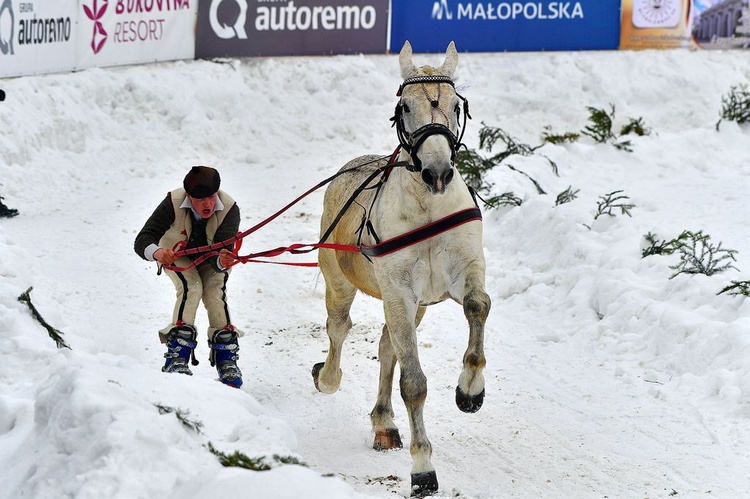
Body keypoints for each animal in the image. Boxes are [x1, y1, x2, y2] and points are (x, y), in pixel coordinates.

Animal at [312, 41, 494, 498]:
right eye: (406, 106)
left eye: (455, 105)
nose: (438, 171)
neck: (428, 206)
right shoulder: (398, 291)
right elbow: (413, 383)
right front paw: (423, 468)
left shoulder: (463, 270)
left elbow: (478, 305)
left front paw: (470, 389)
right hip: (341, 281)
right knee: (340, 329)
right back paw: (328, 377)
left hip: (419, 306)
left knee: (387, 346)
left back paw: (384, 422)